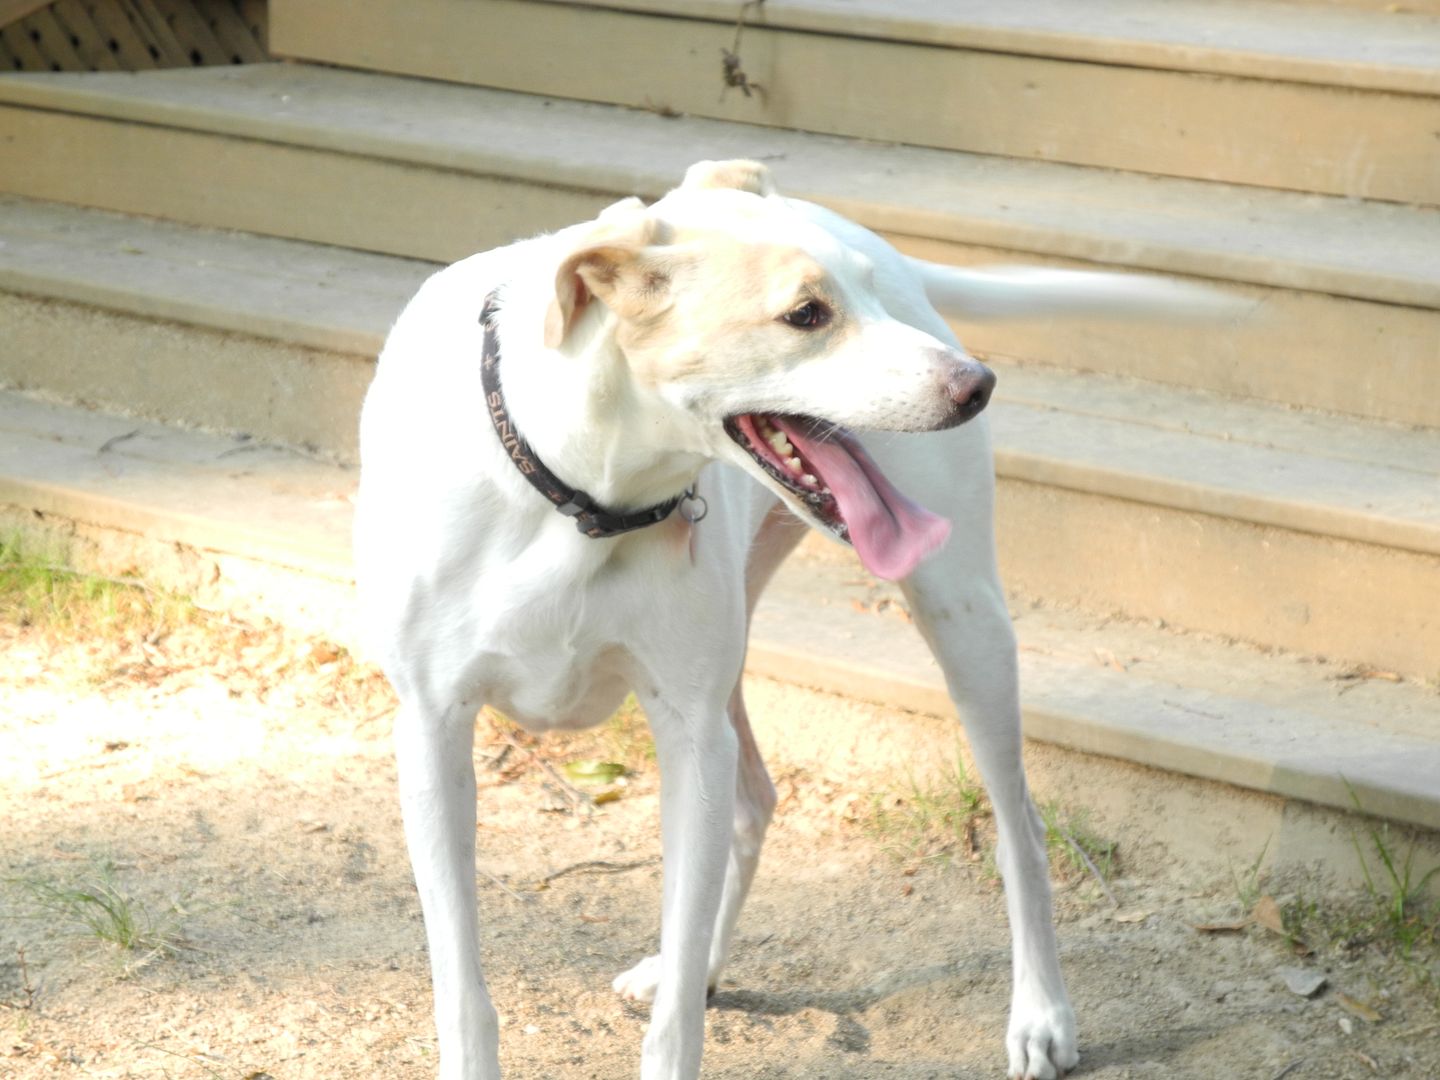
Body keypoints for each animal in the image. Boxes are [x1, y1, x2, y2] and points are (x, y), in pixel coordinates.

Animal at [354, 156, 1232, 1077]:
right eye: (806, 314)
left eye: (870, 292)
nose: (978, 384)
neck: (576, 490)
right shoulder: (433, 733)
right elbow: (462, 987)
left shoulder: (688, 730)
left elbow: (675, 1022)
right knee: (751, 806)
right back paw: (700, 961)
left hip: (962, 621)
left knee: (1018, 827)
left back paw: (1040, 1015)